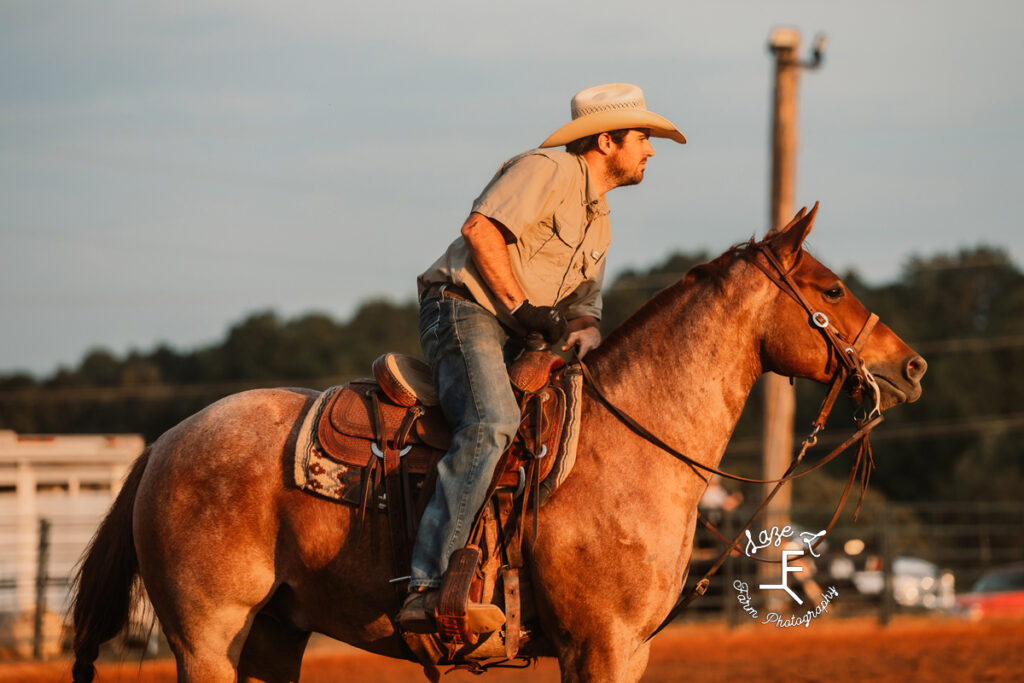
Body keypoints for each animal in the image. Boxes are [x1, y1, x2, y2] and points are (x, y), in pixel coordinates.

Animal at [68, 208, 925, 683]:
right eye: (831, 288)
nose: (911, 365)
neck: (633, 444)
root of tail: (166, 442)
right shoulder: (602, 643)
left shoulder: (623, 649)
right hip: (206, 635)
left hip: (275, 632)